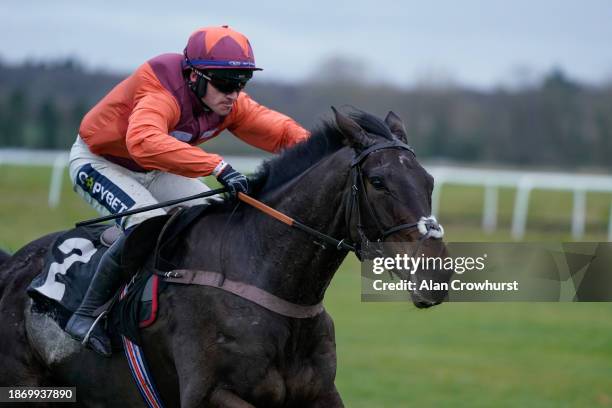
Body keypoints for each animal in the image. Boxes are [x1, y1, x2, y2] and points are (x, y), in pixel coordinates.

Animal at [0, 109, 450, 408]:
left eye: (429, 180)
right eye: (378, 181)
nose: (437, 275)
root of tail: (13, 266)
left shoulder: (321, 393)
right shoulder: (211, 395)